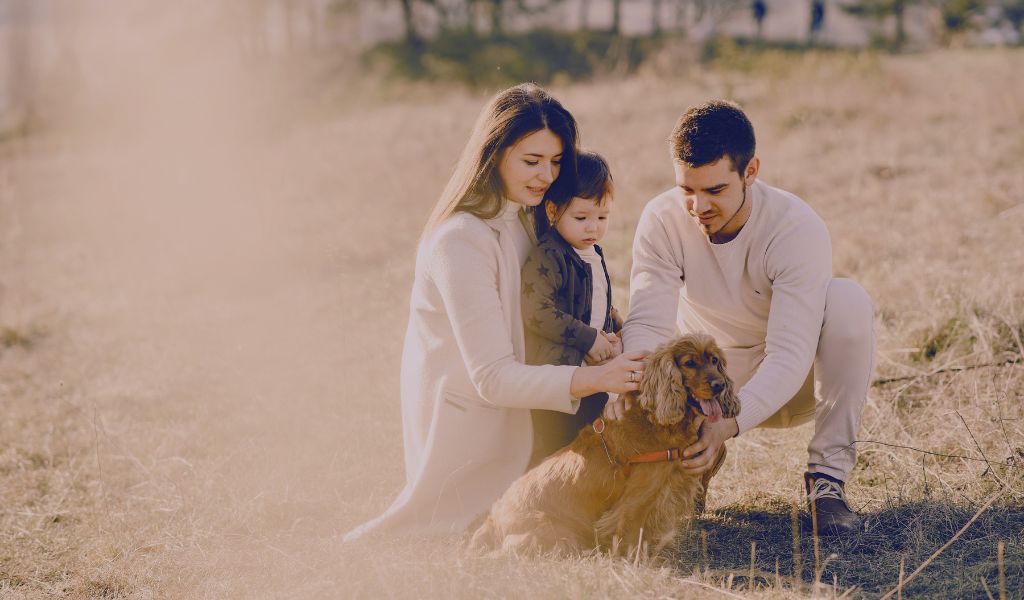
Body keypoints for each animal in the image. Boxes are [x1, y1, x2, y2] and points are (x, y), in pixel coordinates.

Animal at [468, 331, 741, 556]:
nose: (720, 385)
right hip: (557, 535)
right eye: (689, 363)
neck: (656, 421)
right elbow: (630, 533)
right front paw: (633, 562)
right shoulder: (638, 497)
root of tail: (492, 520)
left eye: (714, 360)